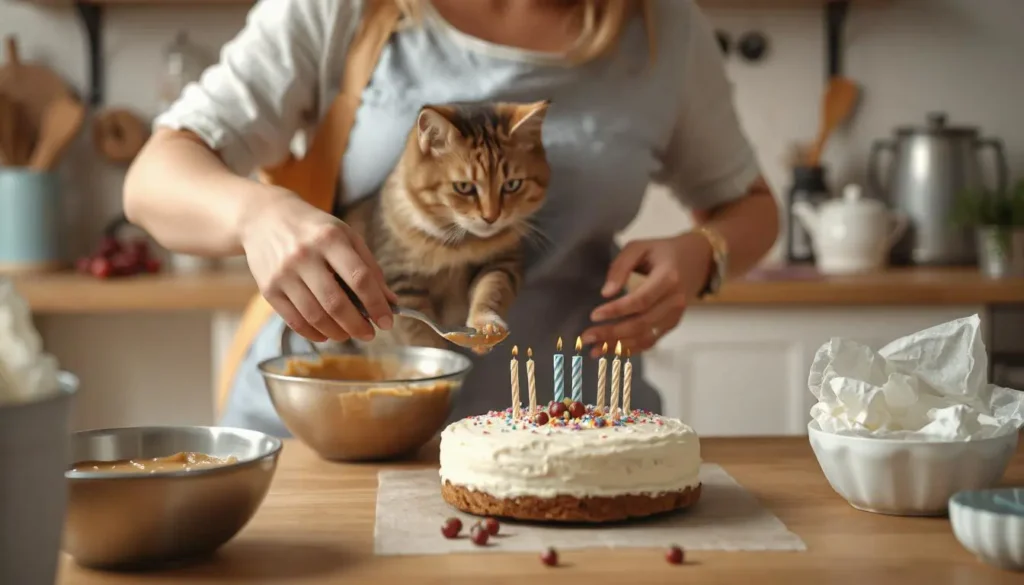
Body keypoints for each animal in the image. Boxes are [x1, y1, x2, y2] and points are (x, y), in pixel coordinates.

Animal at [342, 99, 552, 352]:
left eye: (512, 185)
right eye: (464, 187)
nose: (491, 217)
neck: (459, 243)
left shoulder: (503, 263)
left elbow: (491, 291)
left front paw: (485, 328)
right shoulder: (402, 284)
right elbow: (421, 334)